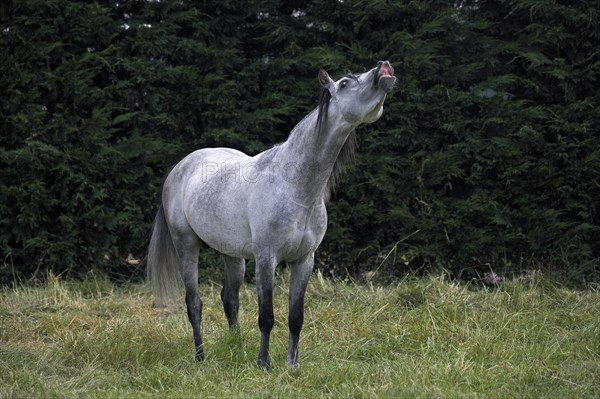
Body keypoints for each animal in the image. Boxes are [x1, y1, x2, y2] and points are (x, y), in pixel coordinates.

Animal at [148, 59, 396, 368]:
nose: (384, 68)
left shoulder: (304, 261)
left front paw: (292, 364)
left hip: (232, 254)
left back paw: (238, 348)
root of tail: (181, 166)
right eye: (344, 83)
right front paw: (264, 364)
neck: (294, 187)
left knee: (230, 299)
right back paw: (201, 357)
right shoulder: (266, 259)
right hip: (187, 245)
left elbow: (295, 317)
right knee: (194, 304)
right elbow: (266, 316)